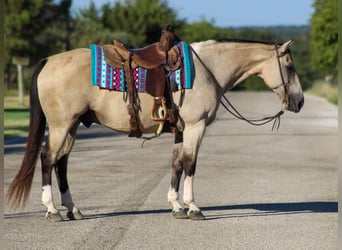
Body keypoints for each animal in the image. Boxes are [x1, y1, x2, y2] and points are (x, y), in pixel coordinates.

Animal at [6, 37, 304, 221]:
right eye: (289, 66)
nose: (300, 101)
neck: (208, 70)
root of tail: (48, 61)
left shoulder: (181, 131)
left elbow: (176, 164)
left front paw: (176, 206)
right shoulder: (195, 127)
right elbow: (190, 164)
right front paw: (193, 208)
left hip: (72, 126)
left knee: (61, 163)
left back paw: (72, 209)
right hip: (61, 126)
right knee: (48, 159)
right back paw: (52, 210)